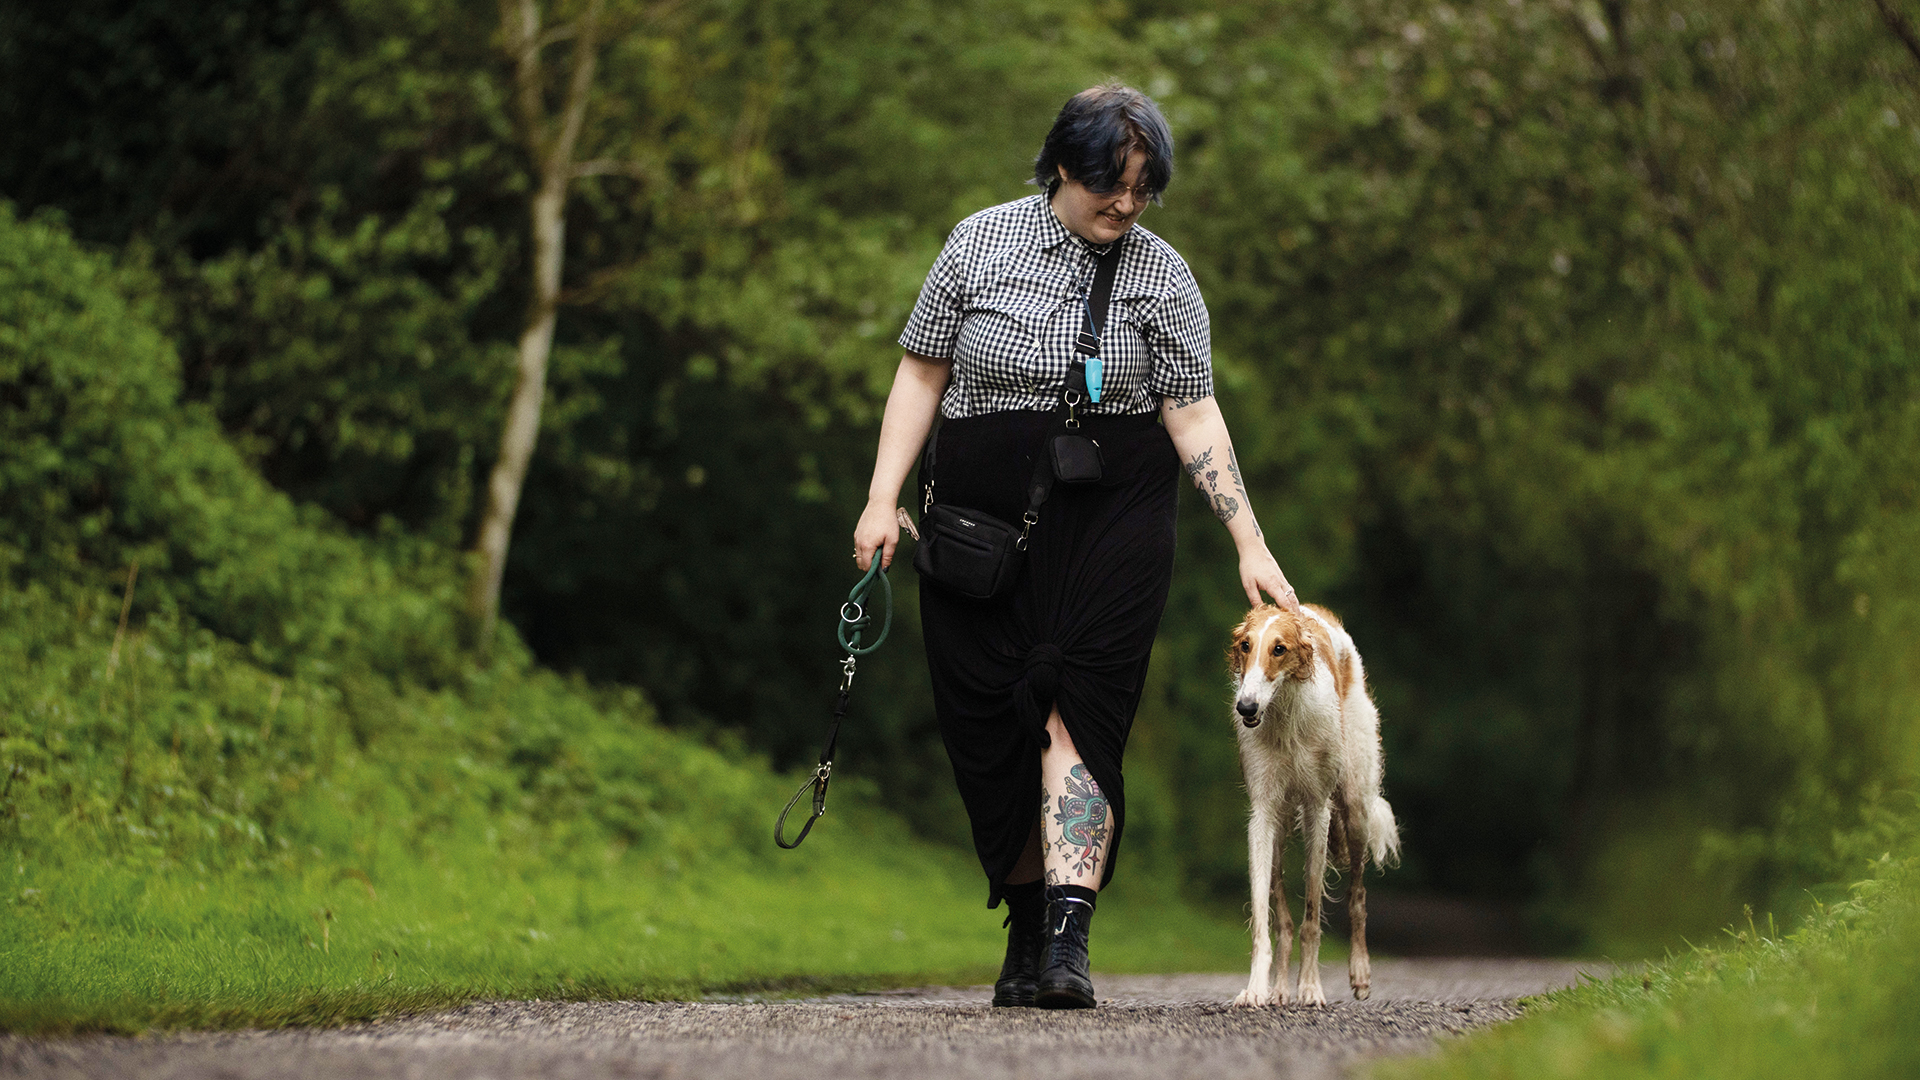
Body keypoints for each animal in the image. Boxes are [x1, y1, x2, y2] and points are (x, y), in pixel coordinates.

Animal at [1221, 599, 1405, 1006]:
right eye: (1245, 645)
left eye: (1279, 648)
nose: (1246, 707)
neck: (1286, 716)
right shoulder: (1262, 813)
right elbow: (1265, 916)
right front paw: (1255, 989)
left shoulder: (1317, 808)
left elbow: (1312, 915)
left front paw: (1310, 987)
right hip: (1281, 826)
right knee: (1284, 920)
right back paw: (1277, 989)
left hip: (1354, 806)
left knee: (1357, 895)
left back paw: (1360, 972)